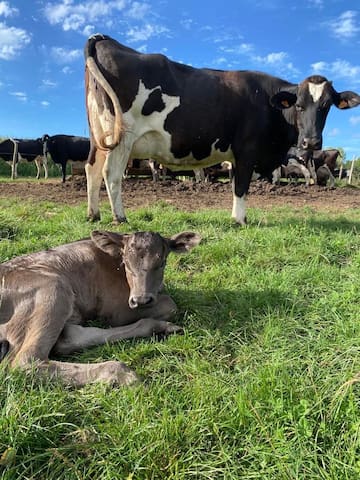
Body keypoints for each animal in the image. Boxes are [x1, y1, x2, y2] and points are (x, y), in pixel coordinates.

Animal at [0, 229, 201, 386]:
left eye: (162, 263)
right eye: (126, 263)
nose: (141, 300)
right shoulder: (118, 310)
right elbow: (170, 304)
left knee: (70, 337)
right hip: (52, 289)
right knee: (25, 361)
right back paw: (123, 373)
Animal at [83, 33, 360, 225]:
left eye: (326, 106)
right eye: (299, 105)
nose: (310, 143)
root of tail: (106, 40)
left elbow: (236, 183)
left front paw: (238, 217)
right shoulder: (247, 150)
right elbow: (241, 185)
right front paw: (239, 221)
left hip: (99, 136)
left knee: (92, 169)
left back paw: (93, 214)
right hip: (122, 137)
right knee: (111, 173)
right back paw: (120, 217)